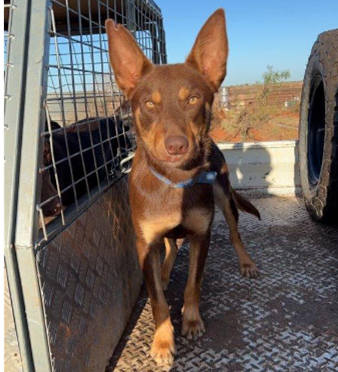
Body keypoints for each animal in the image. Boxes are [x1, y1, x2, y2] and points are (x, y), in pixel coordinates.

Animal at [107, 9, 260, 366]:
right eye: (149, 104)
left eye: (192, 99)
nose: (176, 146)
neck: (174, 181)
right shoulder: (144, 241)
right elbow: (157, 301)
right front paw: (163, 341)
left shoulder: (201, 235)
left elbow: (193, 284)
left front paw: (191, 320)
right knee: (170, 248)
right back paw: (164, 272)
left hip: (223, 196)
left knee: (234, 232)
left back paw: (245, 262)